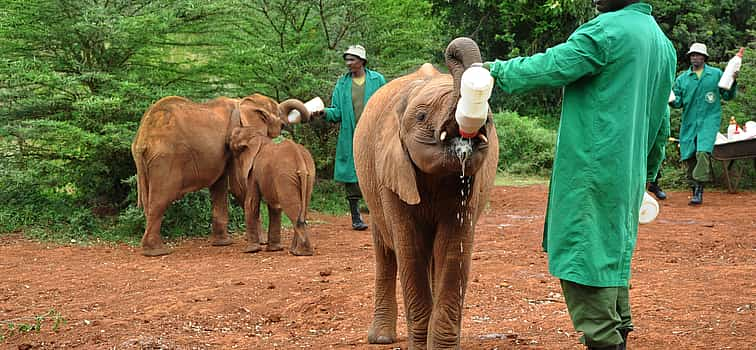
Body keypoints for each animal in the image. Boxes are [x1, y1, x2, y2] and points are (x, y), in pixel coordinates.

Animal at [227, 127, 316, 256]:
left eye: (234, 137)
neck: (257, 137)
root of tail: (298, 156)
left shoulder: (254, 172)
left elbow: (251, 203)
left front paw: (251, 250)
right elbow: (274, 206)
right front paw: (274, 249)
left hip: (285, 175)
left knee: (291, 208)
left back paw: (301, 253)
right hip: (310, 174)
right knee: (302, 209)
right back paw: (295, 251)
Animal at [352, 37, 500, 348]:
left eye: (489, 122)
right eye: (421, 116)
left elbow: (454, 250)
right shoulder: (390, 172)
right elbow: (411, 249)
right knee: (385, 252)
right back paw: (380, 338)